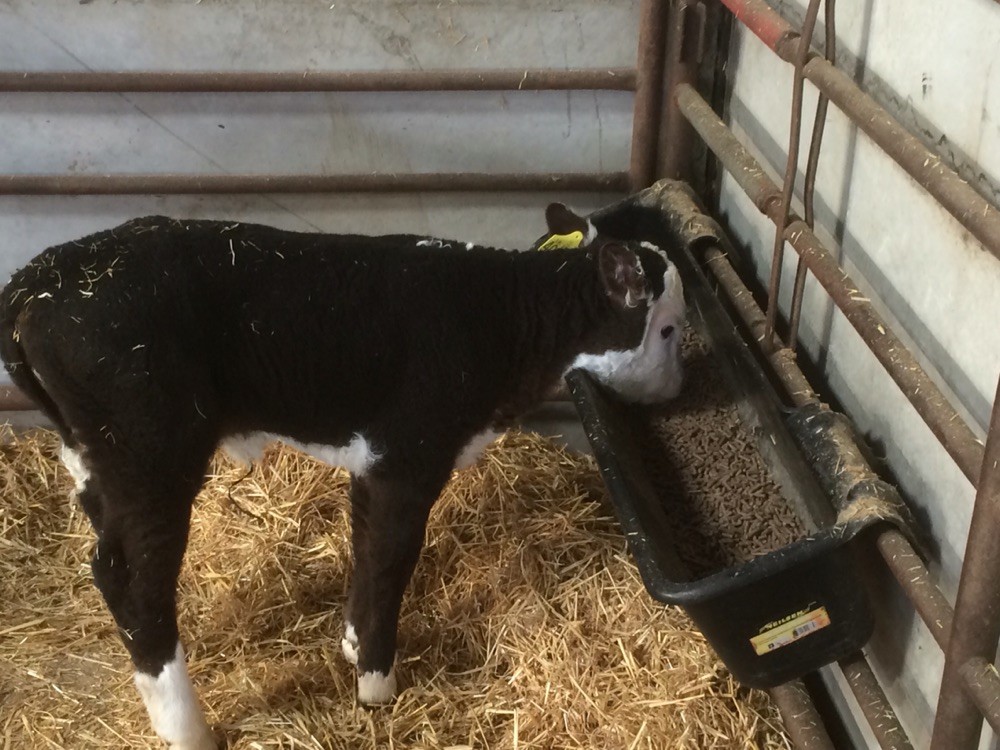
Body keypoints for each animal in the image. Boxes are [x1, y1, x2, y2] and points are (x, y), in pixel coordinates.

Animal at [0, 207, 688, 750]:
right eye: (669, 328)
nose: (680, 388)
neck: (500, 321)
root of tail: (35, 283)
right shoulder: (408, 459)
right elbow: (390, 563)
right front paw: (378, 687)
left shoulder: (373, 463)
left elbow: (364, 551)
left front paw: (355, 647)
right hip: (151, 452)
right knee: (132, 579)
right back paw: (187, 730)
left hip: (95, 457)